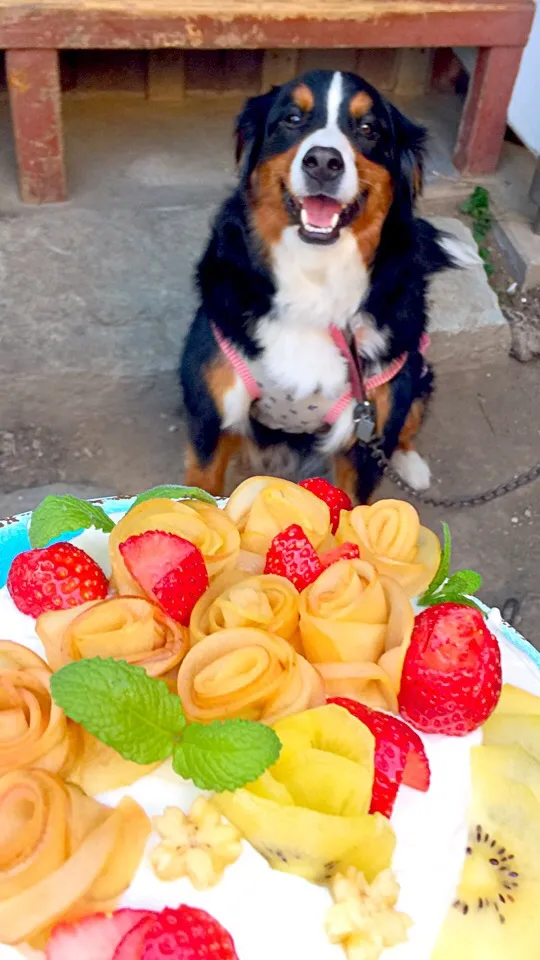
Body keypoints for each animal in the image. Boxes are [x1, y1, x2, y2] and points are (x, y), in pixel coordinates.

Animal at [179, 69, 470, 502]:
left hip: (414, 372)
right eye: (292, 119)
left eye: (368, 129)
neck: (316, 276)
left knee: (408, 425)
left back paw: (411, 465)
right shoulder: (211, 422)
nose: (323, 162)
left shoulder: (366, 435)